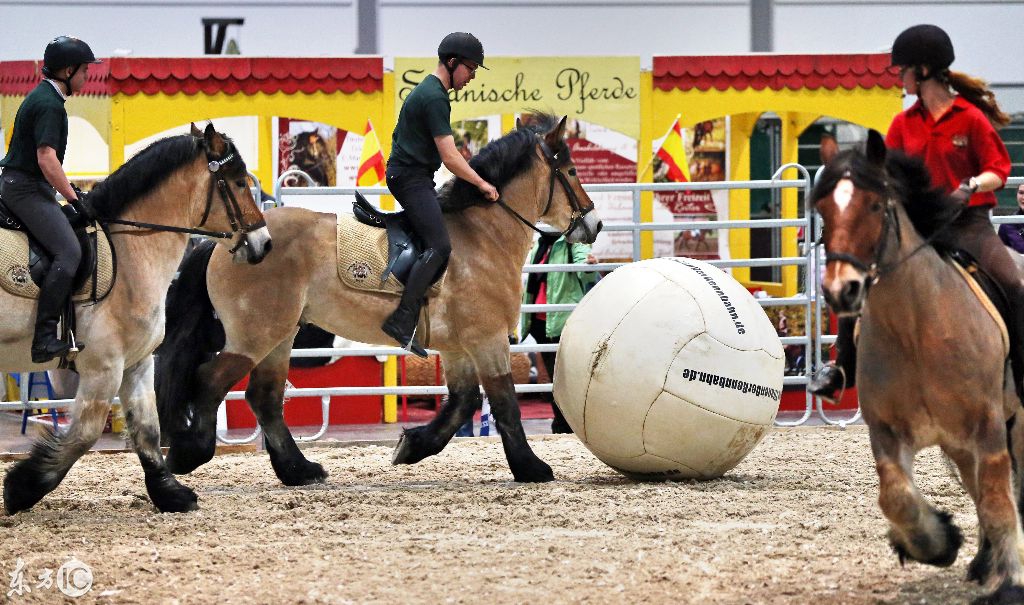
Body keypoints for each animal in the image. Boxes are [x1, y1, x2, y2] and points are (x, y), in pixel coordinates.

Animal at [1, 122, 272, 515]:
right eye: (238, 182)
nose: (264, 243)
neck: (129, 256)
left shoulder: (138, 362)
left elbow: (147, 429)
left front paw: (170, 493)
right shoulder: (103, 366)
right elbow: (84, 433)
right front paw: (21, 488)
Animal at [156, 112, 602, 483]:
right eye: (571, 170)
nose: (594, 224)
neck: (483, 235)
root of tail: (237, 240)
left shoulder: (458, 346)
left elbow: (463, 400)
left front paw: (412, 446)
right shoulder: (487, 338)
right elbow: (505, 400)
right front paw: (531, 467)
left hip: (279, 335)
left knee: (263, 397)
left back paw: (299, 470)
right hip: (255, 334)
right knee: (211, 381)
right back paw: (191, 453)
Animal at [815, 130, 1024, 601]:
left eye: (876, 205)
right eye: (822, 209)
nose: (841, 290)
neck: (916, 327)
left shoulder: (988, 426)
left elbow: (1000, 501)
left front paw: (1010, 582)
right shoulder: (888, 431)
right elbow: (896, 497)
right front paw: (937, 542)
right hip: (961, 444)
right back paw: (982, 562)